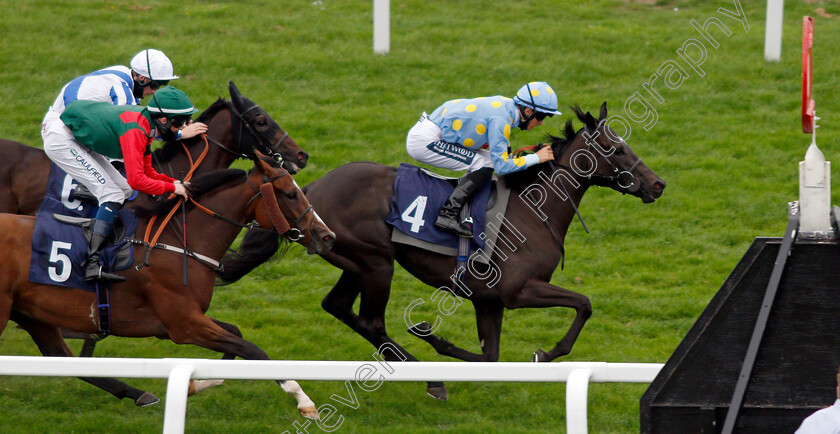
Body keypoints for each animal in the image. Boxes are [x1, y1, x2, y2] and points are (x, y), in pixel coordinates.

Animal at [0, 154, 334, 416]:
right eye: (290, 194)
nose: (326, 235)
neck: (180, 243)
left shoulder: (179, 321)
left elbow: (236, 339)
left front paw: (195, 384)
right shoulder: (185, 325)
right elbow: (254, 350)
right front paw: (303, 399)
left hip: (33, 314)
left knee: (63, 358)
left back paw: (139, 394)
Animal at [220, 103, 668, 398]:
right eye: (616, 149)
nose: (658, 184)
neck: (534, 209)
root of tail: (311, 191)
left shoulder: (489, 300)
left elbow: (491, 358)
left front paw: (439, 341)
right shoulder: (519, 291)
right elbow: (583, 304)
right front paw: (547, 353)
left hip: (357, 261)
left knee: (339, 307)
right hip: (377, 262)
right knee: (370, 321)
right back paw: (431, 378)